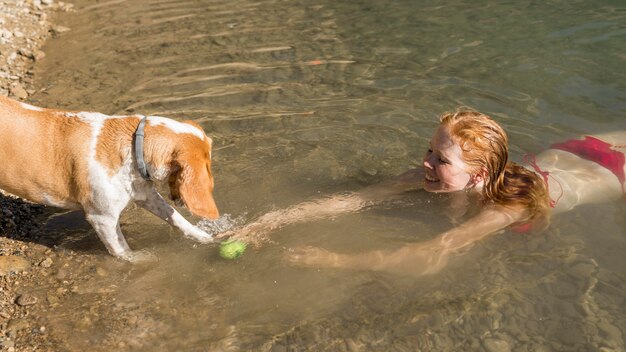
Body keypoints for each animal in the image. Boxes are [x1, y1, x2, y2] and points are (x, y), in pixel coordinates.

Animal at [0, 95, 218, 262]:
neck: (133, 146)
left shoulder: (147, 195)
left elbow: (177, 218)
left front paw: (205, 237)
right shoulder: (103, 218)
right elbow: (122, 250)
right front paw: (142, 260)